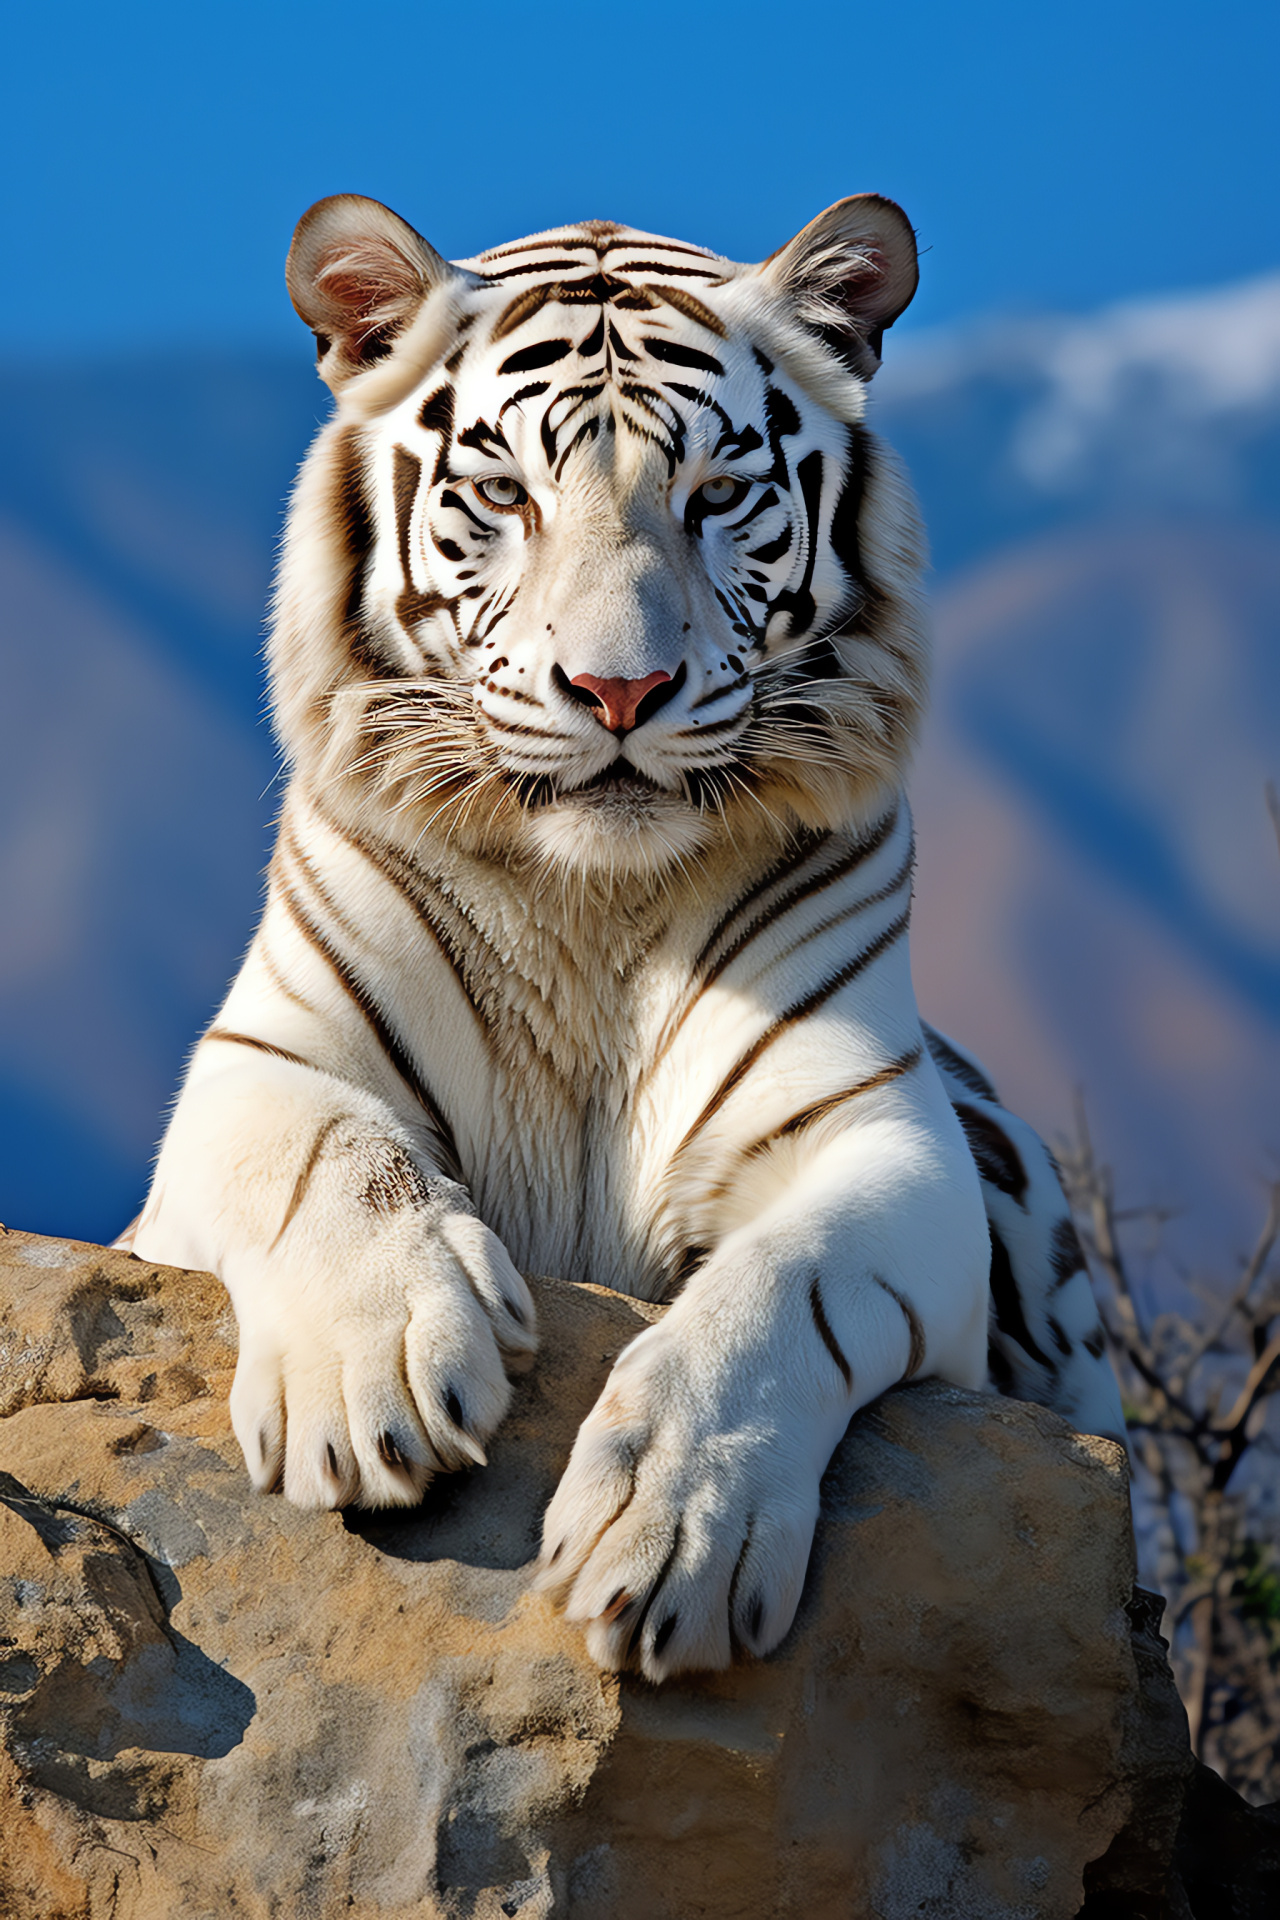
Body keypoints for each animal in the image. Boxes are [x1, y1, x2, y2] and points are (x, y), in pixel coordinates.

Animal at [127, 191, 1120, 1681]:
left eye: (717, 496)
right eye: (502, 496)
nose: (618, 690)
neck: (587, 907)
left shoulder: (881, 1139)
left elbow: (780, 1289)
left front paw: (672, 1536)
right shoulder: (261, 1066)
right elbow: (337, 1163)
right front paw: (372, 1379)